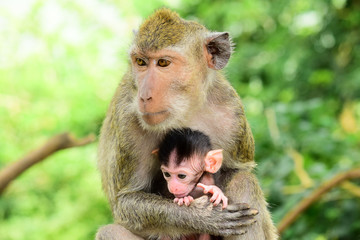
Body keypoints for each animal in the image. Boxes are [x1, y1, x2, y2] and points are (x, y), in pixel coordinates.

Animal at [96, 8, 278, 239]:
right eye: (141, 62)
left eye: (163, 63)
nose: (144, 96)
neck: (185, 111)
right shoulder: (127, 122)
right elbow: (126, 200)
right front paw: (203, 216)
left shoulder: (233, 115)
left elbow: (237, 172)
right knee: (109, 231)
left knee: (243, 180)